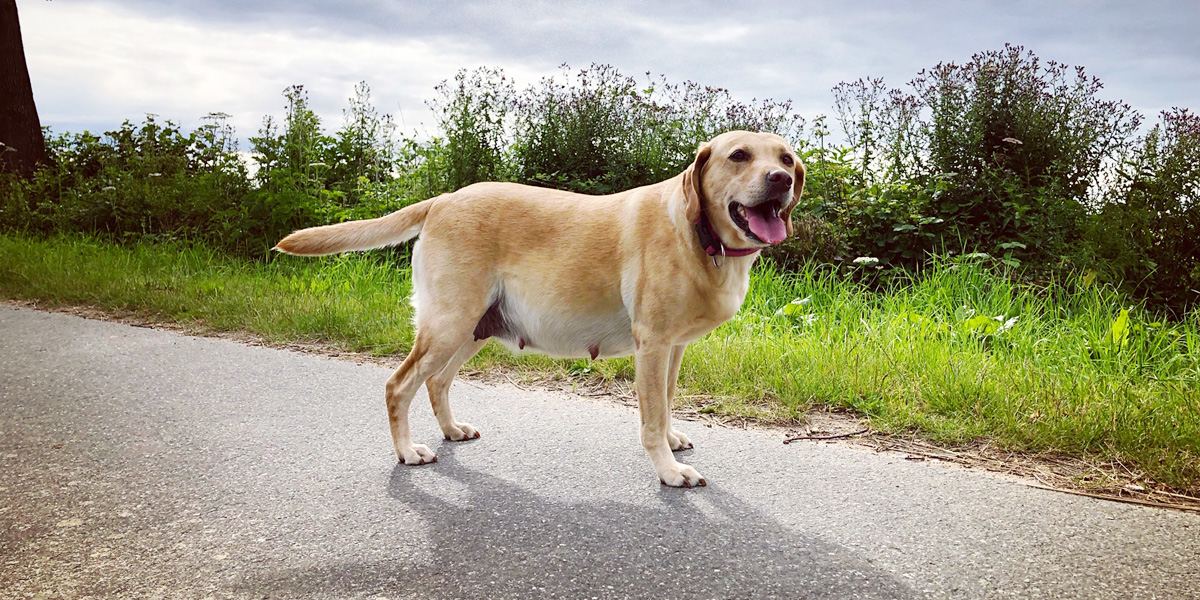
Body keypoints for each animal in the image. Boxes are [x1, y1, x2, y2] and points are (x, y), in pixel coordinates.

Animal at [274, 131, 806, 487]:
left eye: (786, 158)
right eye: (739, 156)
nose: (781, 179)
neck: (700, 235)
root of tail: (443, 199)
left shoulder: (673, 349)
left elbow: (668, 401)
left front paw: (673, 441)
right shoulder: (652, 345)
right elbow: (651, 418)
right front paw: (669, 470)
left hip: (473, 329)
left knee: (436, 382)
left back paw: (451, 430)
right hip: (448, 325)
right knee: (398, 384)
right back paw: (407, 451)